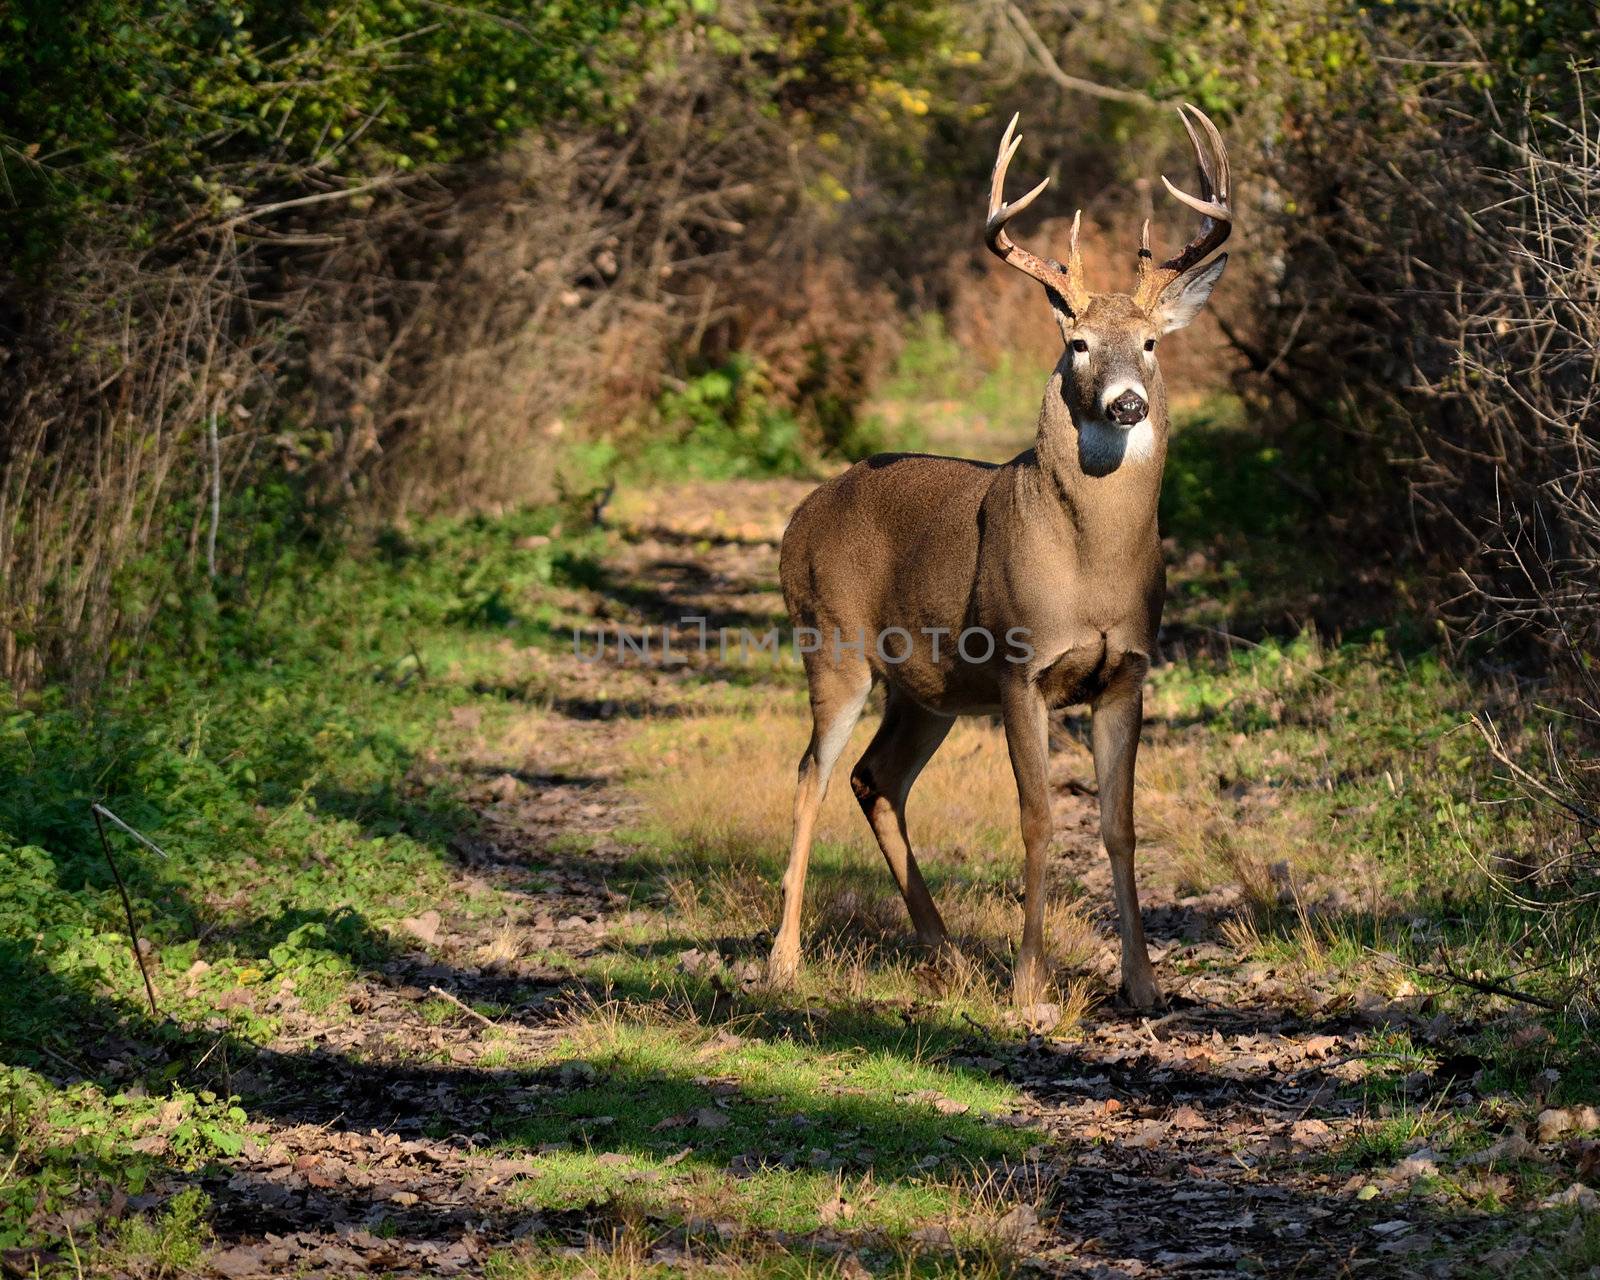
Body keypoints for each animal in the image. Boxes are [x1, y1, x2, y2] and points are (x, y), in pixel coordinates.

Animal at [768, 104, 1228, 1011]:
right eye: (1077, 343)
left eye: (1152, 343)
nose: (1127, 402)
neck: (1091, 569)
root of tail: (799, 518)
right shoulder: (1022, 664)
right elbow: (1040, 818)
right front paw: (1028, 983)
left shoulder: (1127, 671)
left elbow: (1119, 824)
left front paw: (1143, 983)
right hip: (830, 641)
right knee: (809, 773)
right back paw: (785, 959)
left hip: (927, 686)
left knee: (875, 779)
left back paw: (944, 954)